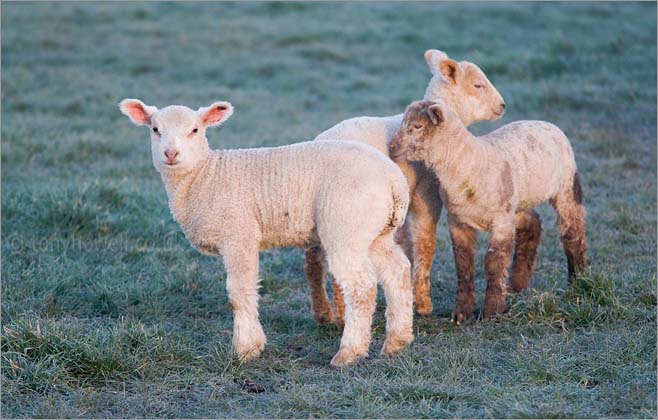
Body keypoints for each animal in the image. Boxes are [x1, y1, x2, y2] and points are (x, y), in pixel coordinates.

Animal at [118, 99, 414, 367]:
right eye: (155, 129)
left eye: (194, 130)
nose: (170, 154)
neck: (203, 175)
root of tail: (393, 179)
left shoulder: (239, 235)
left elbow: (239, 293)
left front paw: (246, 349)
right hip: (375, 233)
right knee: (397, 271)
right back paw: (397, 341)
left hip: (346, 226)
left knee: (361, 287)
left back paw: (349, 352)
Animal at [306, 50, 507, 326]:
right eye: (478, 85)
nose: (503, 106)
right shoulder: (426, 194)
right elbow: (425, 242)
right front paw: (422, 304)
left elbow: (404, 243)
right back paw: (343, 315)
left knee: (313, 258)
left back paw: (323, 313)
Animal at [389, 100, 588, 322]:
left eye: (417, 126)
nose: (391, 147)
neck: (468, 163)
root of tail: (548, 124)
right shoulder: (458, 220)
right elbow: (463, 263)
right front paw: (461, 313)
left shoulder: (501, 221)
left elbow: (494, 261)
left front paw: (491, 311)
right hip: (516, 202)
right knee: (533, 223)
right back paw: (517, 284)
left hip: (566, 186)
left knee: (572, 232)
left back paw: (578, 280)